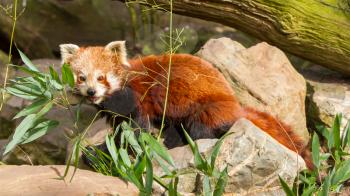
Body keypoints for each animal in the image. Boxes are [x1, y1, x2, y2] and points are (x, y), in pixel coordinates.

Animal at [59, 40, 312, 168]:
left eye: (101, 77)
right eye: (82, 77)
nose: (91, 92)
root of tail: (235, 104)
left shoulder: (137, 99)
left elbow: (134, 132)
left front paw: (101, 152)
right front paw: (98, 151)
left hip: (206, 107)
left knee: (200, 130)